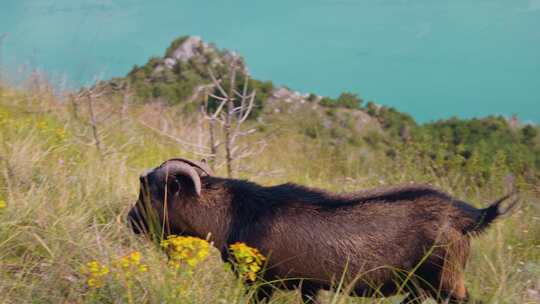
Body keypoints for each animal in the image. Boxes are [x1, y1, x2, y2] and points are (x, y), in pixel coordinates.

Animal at [129, 158, 516, 302]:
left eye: (146, 191)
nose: (131, 222)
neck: (236, 212)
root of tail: (467, 216)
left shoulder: (260, 285)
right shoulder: (310, 286)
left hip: (448, 282)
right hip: (421, 286)